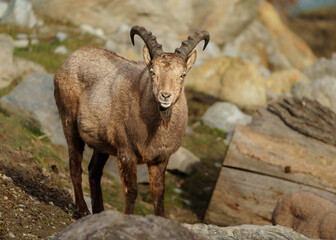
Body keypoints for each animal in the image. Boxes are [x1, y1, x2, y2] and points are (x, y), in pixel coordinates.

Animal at [53, 25, 209, 217]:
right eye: (152, 72)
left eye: (183, 74)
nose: (165, 96)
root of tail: (71, 57)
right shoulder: (127, 152)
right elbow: (132, 190)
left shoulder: (160, 158)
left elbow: (159, 192)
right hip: (69, 121)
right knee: (75, 165)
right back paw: (82, 209)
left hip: (102, 143)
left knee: (94, 171)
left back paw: (99, 212)